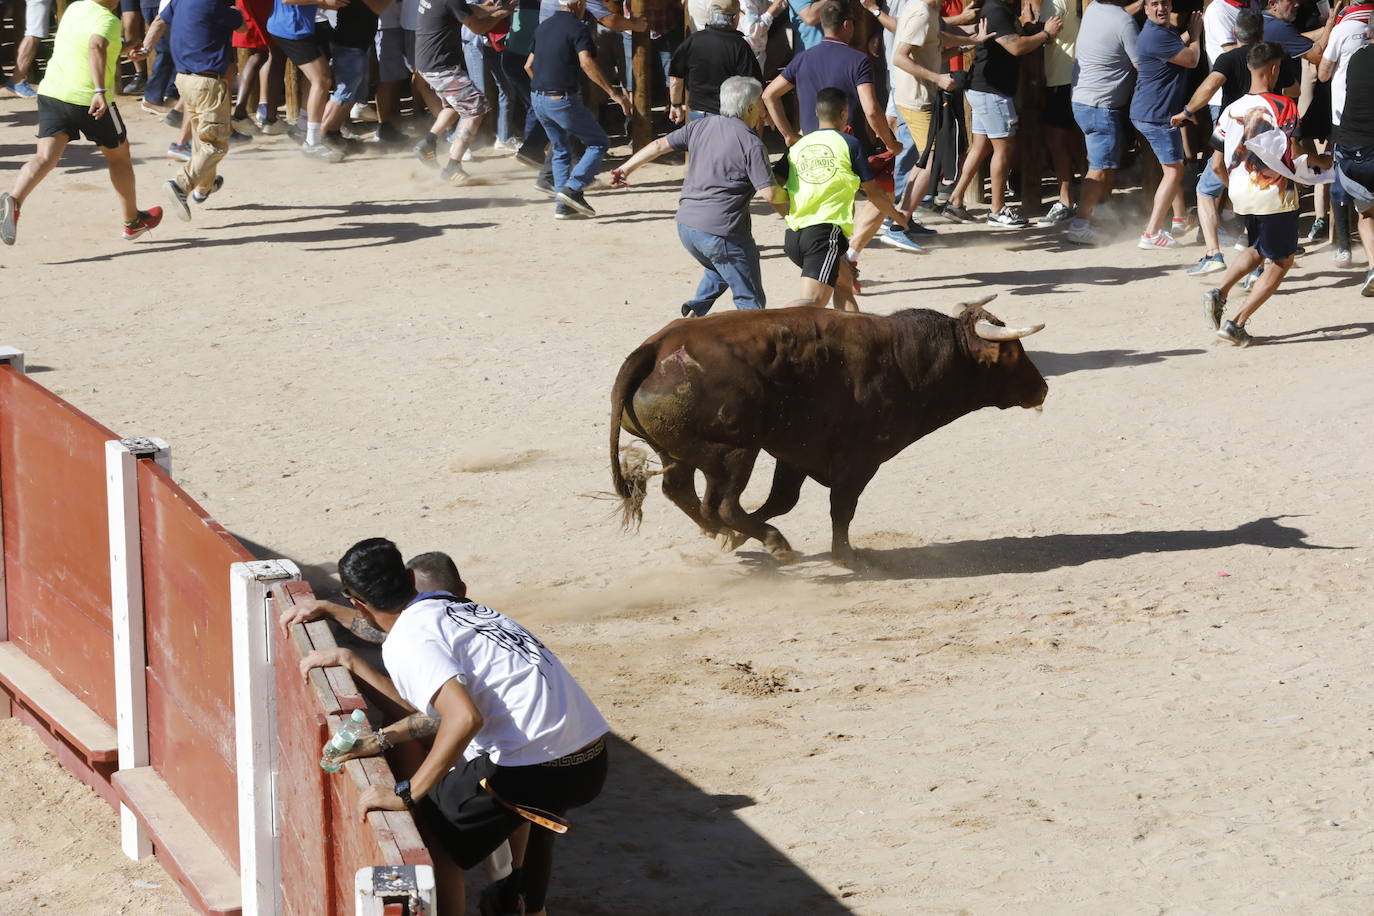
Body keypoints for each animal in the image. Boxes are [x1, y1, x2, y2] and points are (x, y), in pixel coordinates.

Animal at [607, 295, 1044, 565]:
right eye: (1012, 352)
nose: (1042, 387)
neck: (905, 359)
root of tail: (658, 348)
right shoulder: (859, 460)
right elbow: (842, 507)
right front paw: (846, 555)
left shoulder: (795, 453)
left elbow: (783, 500)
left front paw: (734, 539)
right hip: (735, 452)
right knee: (722, 504)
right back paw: (774, 543)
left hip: (681, 452)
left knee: (682, 491)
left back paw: (723, 533)